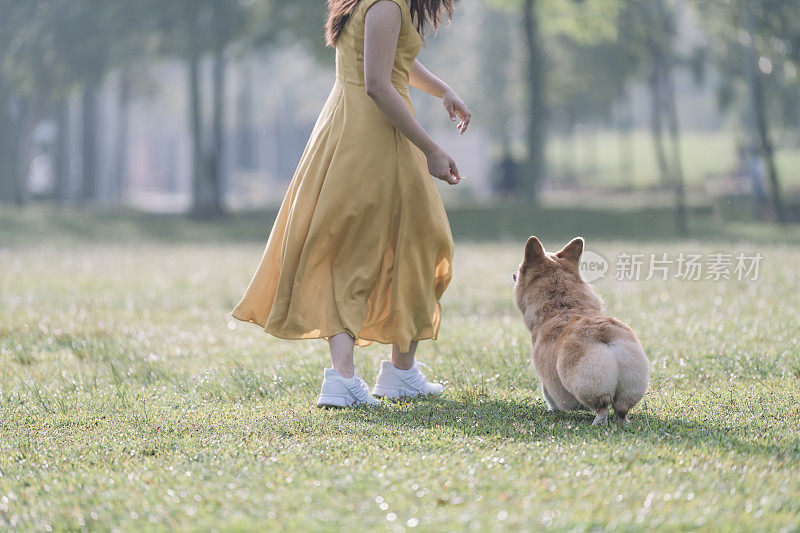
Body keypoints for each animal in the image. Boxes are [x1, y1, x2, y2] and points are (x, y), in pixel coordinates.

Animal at [512, 237, 648, 424]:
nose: (513, 275)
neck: (562, 306)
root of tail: (606, 336)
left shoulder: (546, 380)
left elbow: (548, 394)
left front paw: (552, 408)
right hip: (631, 382)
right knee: (621, 410)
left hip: (585, 383)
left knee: (603, 406)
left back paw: (597, 424)